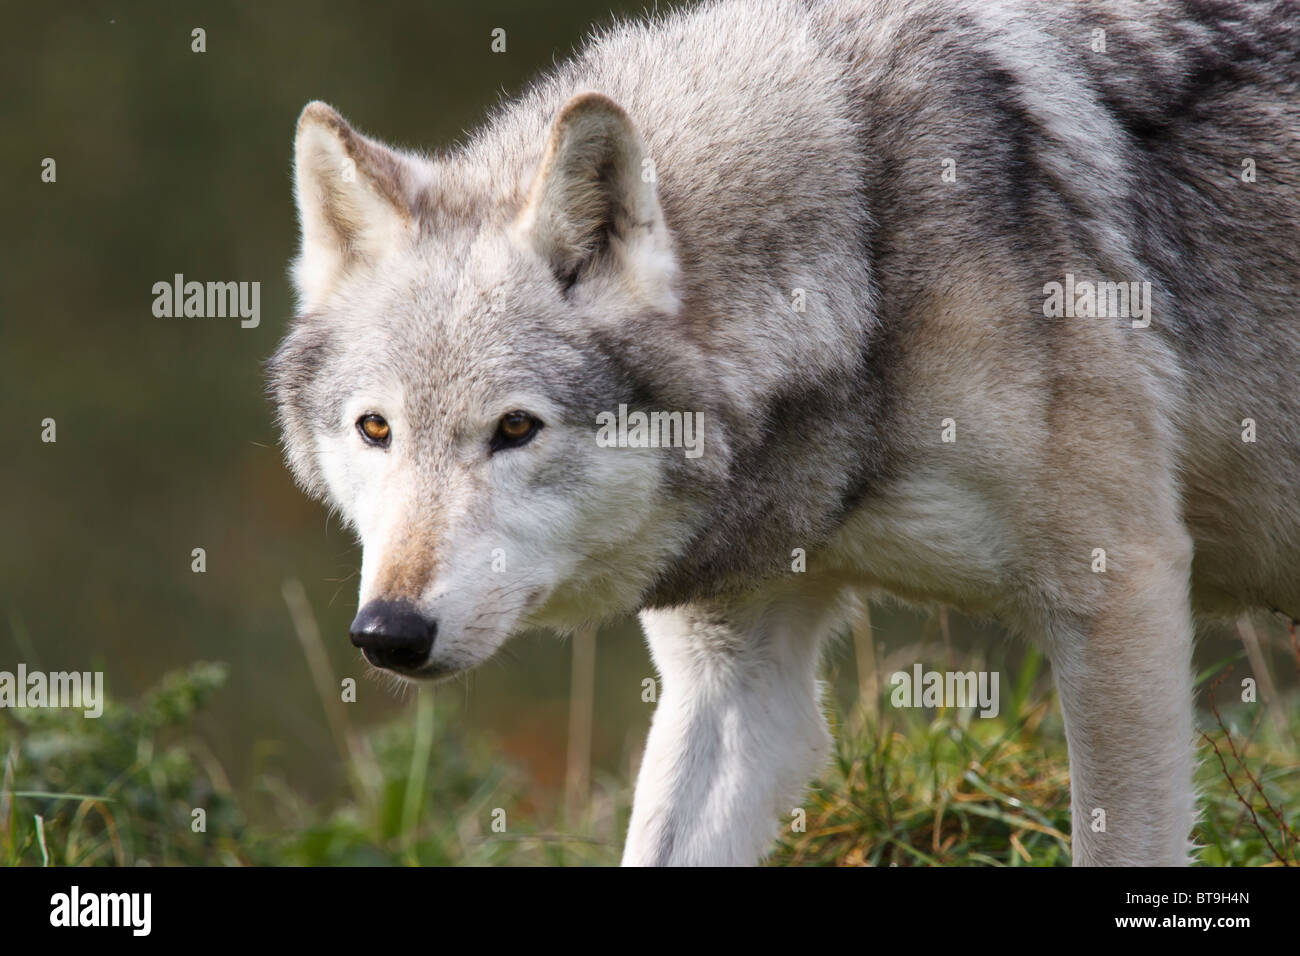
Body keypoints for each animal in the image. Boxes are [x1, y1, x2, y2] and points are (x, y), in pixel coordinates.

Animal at [263, 0, 1300, 868]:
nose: (388, 632)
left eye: (516, 428)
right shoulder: (734, 676)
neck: (872, 259)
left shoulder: (1121, 592)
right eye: (375, 428)